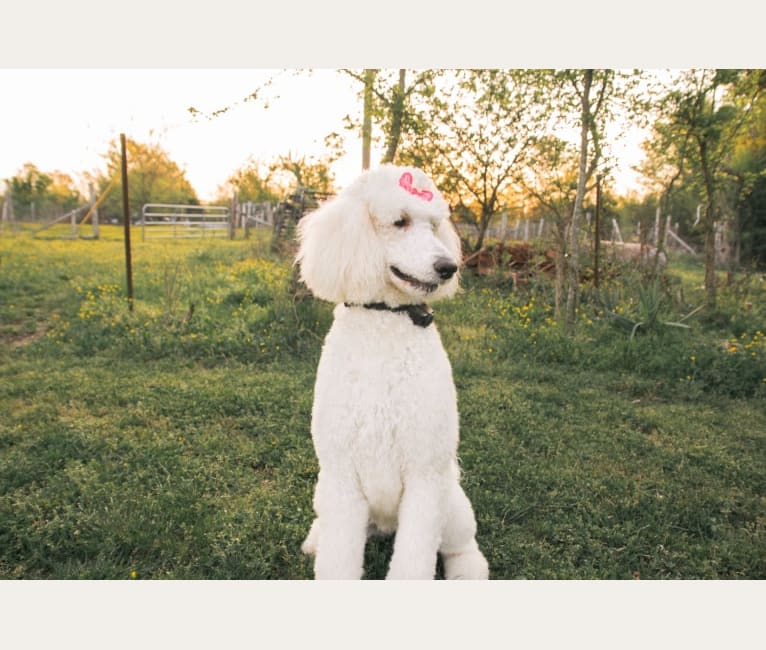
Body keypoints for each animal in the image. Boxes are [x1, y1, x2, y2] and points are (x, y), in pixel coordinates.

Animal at [296, 162, 488, 576]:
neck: (385, 322)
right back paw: (315, 540)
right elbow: (338, 560)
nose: (449, 267)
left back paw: (467, 572)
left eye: (434, 225)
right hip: (325, 492)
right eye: (400, 222)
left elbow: (414, 560)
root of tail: (384, 526)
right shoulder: (342, 478)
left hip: (452, 504)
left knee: (463, 547)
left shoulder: (425, 475)